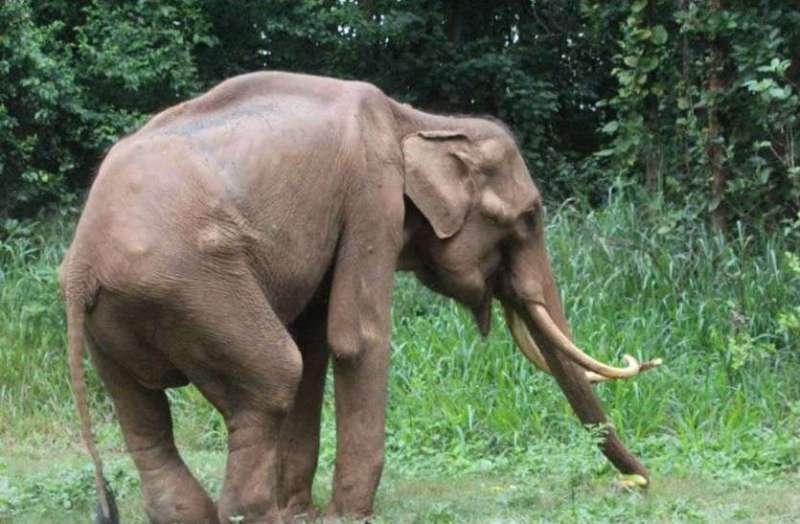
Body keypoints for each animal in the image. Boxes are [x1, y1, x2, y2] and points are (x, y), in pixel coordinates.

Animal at [60, 71, 661, 523]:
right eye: (530, 217)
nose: (642, 484)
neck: (420, 120)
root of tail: (82, 265)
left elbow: (315, 340)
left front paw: (304, 511)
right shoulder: (372, 190)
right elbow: (353, 338)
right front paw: (349, 516)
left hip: (116, 323)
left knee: (145, 417)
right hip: (194, 287)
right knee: (273, 376)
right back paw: (258, 513)